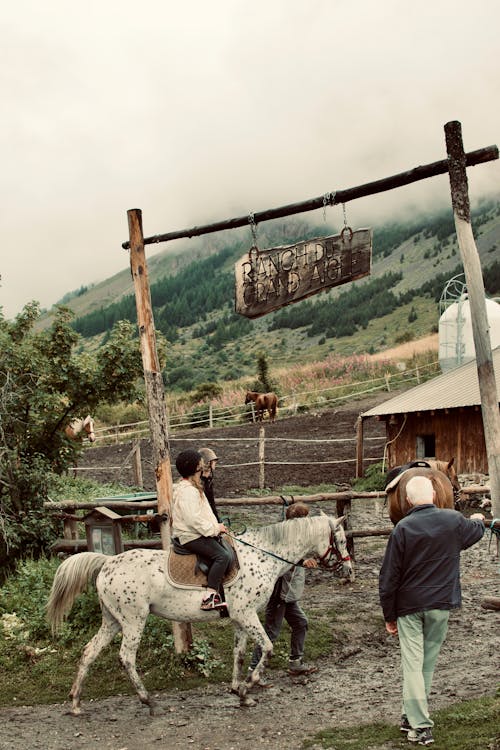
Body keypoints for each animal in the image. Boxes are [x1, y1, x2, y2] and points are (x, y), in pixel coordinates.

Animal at [46, 516, 352, 712]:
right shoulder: (248, 615)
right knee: (126, 657)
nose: (348, 570)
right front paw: (247, 687)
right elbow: (266, 647)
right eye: (340, 540)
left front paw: (240, 694)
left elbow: (239, 654)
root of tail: (107, 562)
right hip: (133, 620)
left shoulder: (240, 618)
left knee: (89, 652)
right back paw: (148, 701)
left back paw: (76, 703)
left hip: (112, 621)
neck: (264, 556)